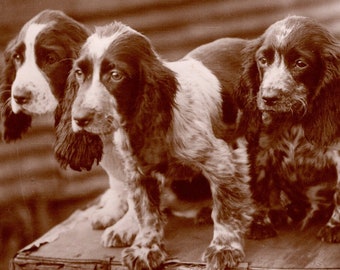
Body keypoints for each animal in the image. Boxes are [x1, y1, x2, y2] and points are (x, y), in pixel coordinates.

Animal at [67, 22, 252, 268]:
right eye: (79, 73)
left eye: (116, 75)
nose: (79, 119)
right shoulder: (138, 172)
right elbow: (147, 214)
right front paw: (146, 249)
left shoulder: (220, 160)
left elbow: (224, 210)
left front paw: (224, 248)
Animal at [236, 15, 340, 243]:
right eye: (263, 60)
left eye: (300, 64)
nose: (268, 97)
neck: (294, 121)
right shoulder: (260, 150)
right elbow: (259, 188)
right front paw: (259, 223)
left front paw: (335, 227)